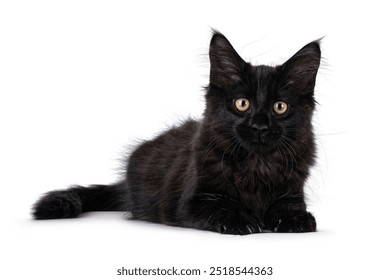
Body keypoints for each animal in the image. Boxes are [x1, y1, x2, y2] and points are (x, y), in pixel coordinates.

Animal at [32, 31, 320, 234]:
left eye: (279, 107)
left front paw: (295, 219)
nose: (259, 126)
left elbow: (289, 207)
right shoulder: (190, 201)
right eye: (242, 103)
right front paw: (241, 219)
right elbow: (220, 204)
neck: (257, 166)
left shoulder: (293, 192)